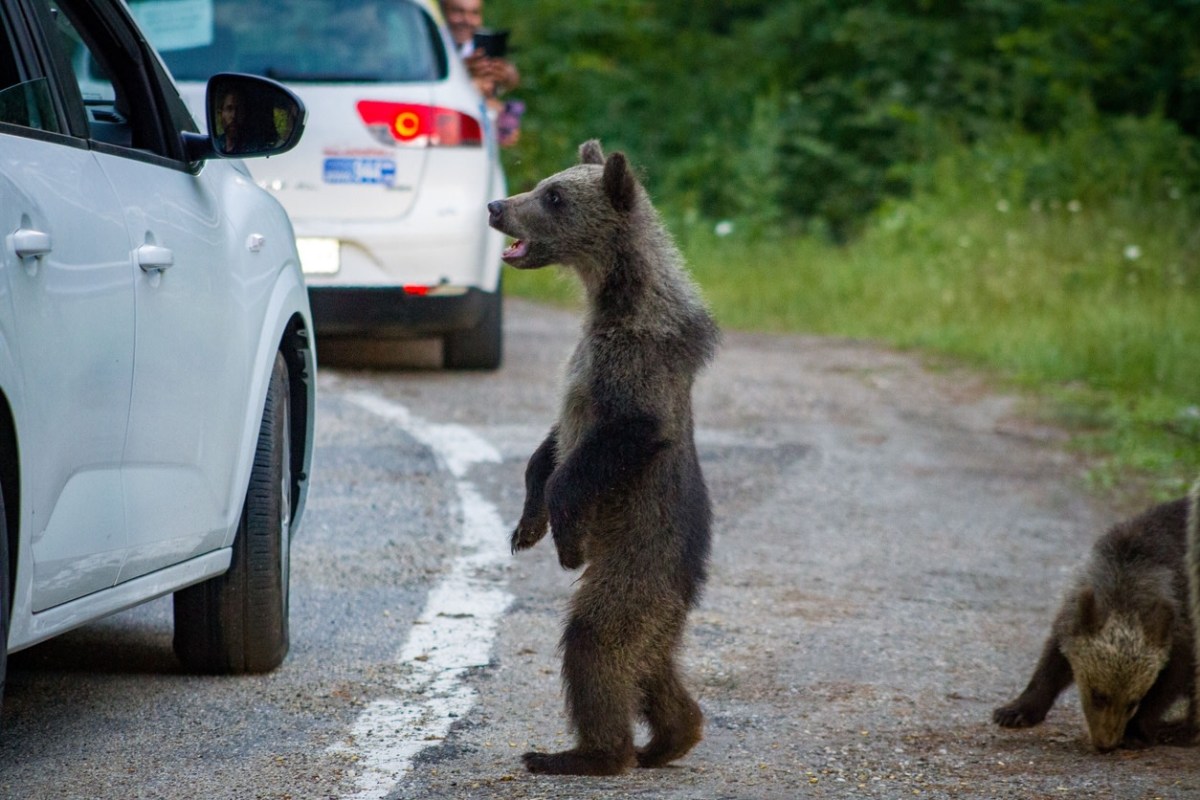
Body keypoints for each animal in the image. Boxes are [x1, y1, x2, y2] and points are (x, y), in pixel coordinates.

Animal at [487, 140, 719, 775]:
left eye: (553, 196)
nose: (496, 205)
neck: (613, 299)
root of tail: (684, 587)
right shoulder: (581, 366)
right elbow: (547, 447)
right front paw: (525, 525)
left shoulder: (633, 370)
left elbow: (612, 442)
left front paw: (564, 538)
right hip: (651, 598)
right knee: (648, 662)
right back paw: (672, 737)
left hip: (637, 561)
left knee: (596, 641)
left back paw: (583, 753)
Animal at [993, 497, 1197, 751]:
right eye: (1098, 695)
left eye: (1132, 701)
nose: (1106, 744)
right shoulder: (1075, 610)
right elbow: (1052, 663)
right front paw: (1014, 712)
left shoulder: (1180, 631)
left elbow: (1168, 684)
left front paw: (1136, 732)